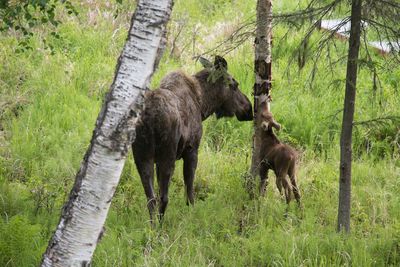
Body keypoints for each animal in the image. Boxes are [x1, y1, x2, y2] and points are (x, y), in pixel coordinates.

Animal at [133, 55, 252, 223]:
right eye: (234, 85)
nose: (249, 109)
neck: (203, 104)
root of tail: (150, 117)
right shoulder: (192, 150)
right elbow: (190, 191)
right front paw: (192, 213)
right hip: (167, 155)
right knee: (163, 198)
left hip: (142, 156)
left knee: (151, 199)